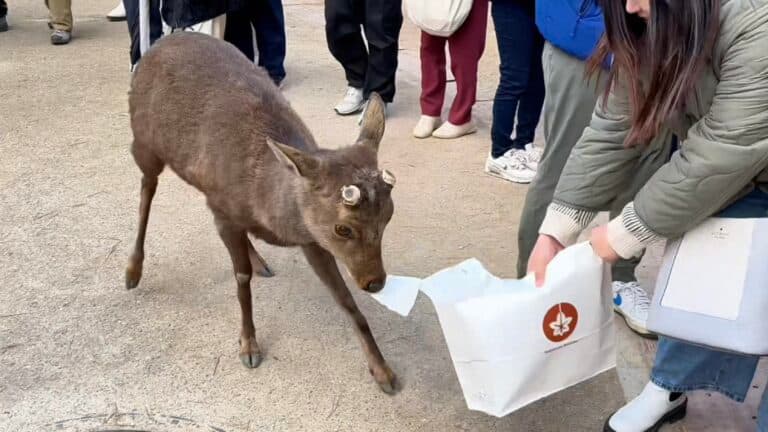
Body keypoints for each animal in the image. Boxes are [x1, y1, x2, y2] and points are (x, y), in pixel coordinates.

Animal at [124, 32, 398, 394]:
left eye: (389, 216)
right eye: (343, 228)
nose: (375, 282)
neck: (266, 201)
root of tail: (160, 41)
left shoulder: (309, 236)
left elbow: (344, 299)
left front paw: (383, 371)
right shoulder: (225, 212)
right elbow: (241, 280)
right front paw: (249, 346)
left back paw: (257, 256)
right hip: (143, 142)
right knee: (146, 191)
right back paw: (132, 270)